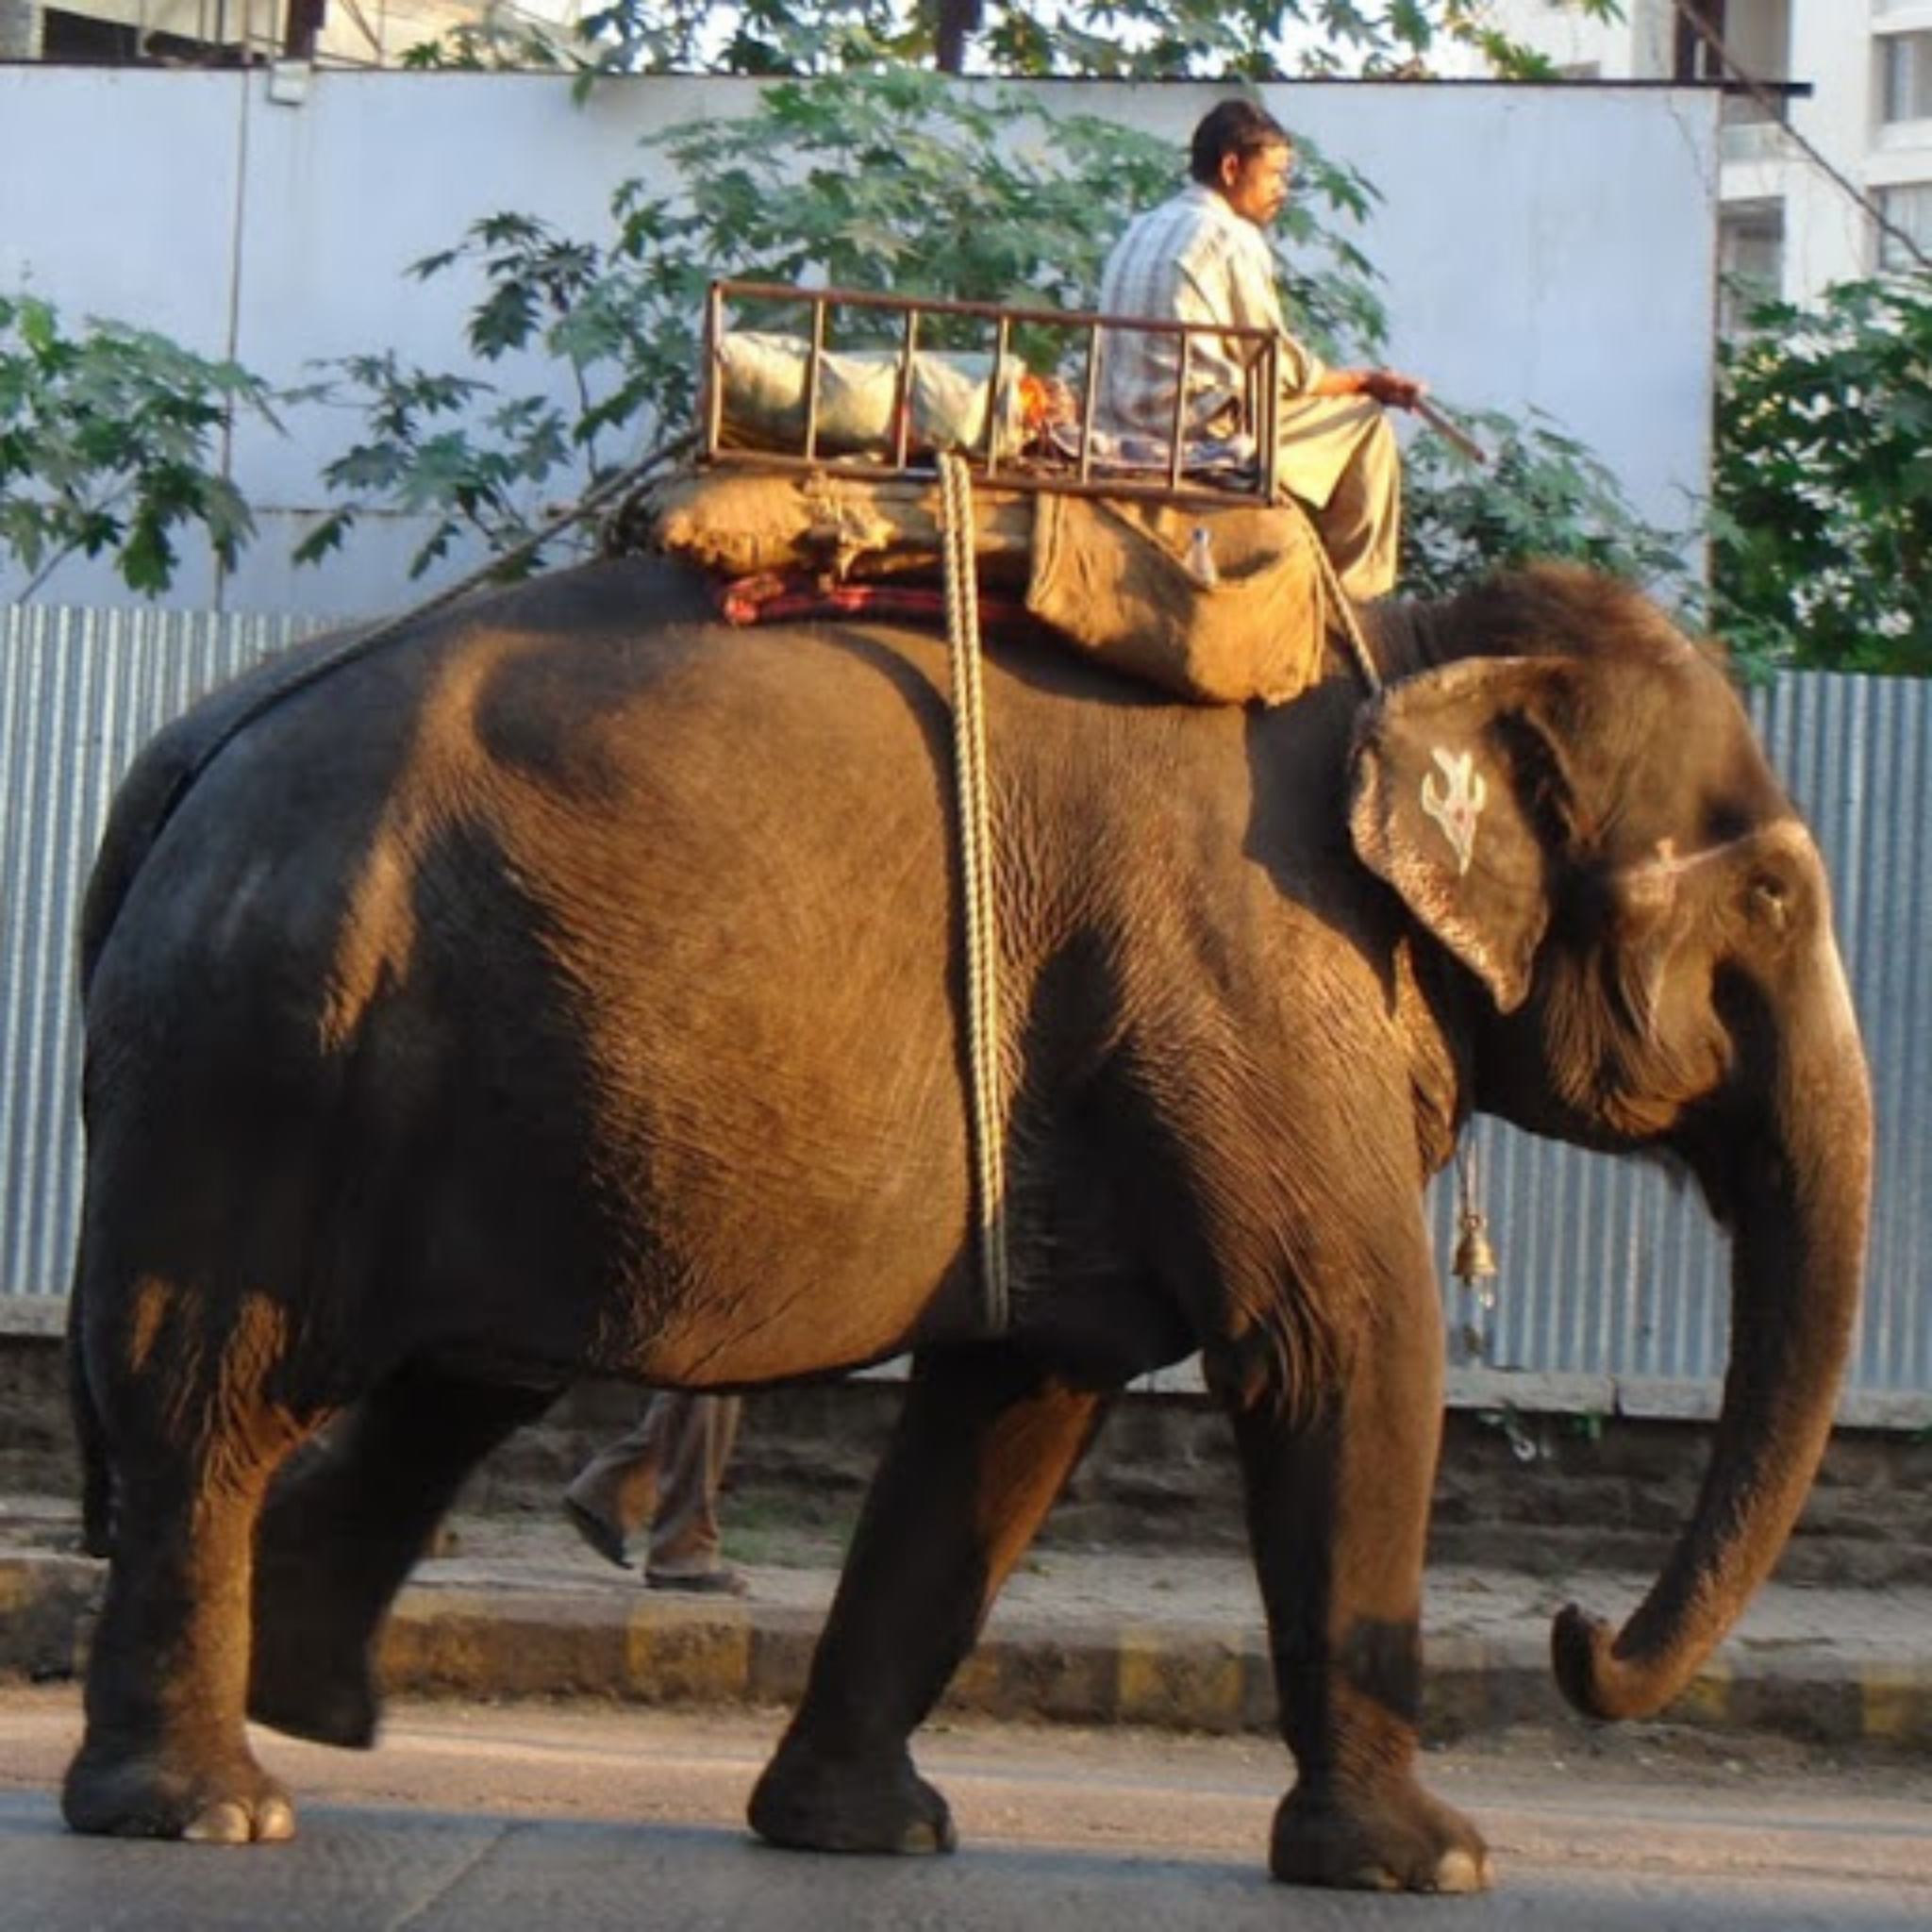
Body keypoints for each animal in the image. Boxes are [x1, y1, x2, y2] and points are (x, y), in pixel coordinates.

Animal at [59, 550, 1871, 1892]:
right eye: (1773, 895)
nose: (1574, 1638)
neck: (1409, 648)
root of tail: (186, 757)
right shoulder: (1245, 977)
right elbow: (1339, 1349)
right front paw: (1431, 1865)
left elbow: (1019, 1398)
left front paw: (868, 1836)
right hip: (262, 1056)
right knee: (205, 1384)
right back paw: (209, 1806)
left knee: (463, 1370)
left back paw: (306, 1694)